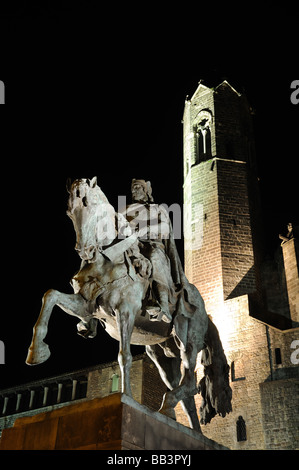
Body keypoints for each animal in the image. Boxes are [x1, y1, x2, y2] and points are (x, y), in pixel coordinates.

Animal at [26, 177, 232, 434]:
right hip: (162, 352)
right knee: (185, 391)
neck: (110, 260)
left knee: (192, 381)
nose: (86, 250)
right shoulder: (87, 306)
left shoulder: (126, 311)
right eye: (69, 211)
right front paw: (37, 351)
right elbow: (50, 296)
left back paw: (168, 406)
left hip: (189, 339)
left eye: (89, 205)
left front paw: (126, 397)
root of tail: (206, 310)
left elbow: (124, 356)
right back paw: (190, 428)